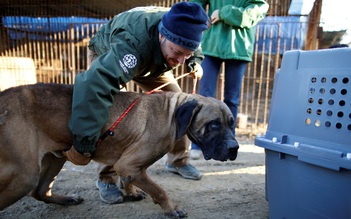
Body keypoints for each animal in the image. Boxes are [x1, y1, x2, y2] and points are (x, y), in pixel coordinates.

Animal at [0, 83, 239, 217]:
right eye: (213, 125)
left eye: (232, 123)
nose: (234, 148)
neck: (171, 112)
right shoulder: (128, 164)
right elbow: (159, 189)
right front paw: (171, 208)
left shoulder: (129, 166)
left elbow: (131, 180)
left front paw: (131, 192)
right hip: (24, 175)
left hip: (55, 159)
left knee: (40, 192)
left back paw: (66, 199)